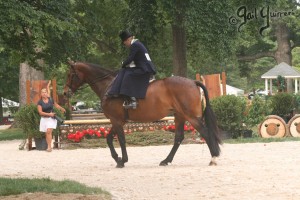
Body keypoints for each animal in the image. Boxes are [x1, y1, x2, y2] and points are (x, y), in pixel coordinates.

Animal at [63, 60, 223, 167]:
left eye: (70, 74)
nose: (65, 93)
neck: (108, 85)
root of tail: (193, 82)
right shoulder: (117, 121)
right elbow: (109, 139)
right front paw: (117, 158)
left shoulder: (116, 120)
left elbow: (120, 140)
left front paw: (122, 160)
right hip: (180, 116)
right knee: (178, 137)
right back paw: (166, 160)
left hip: (192, 117)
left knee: (205, 133)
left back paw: (214, 158)